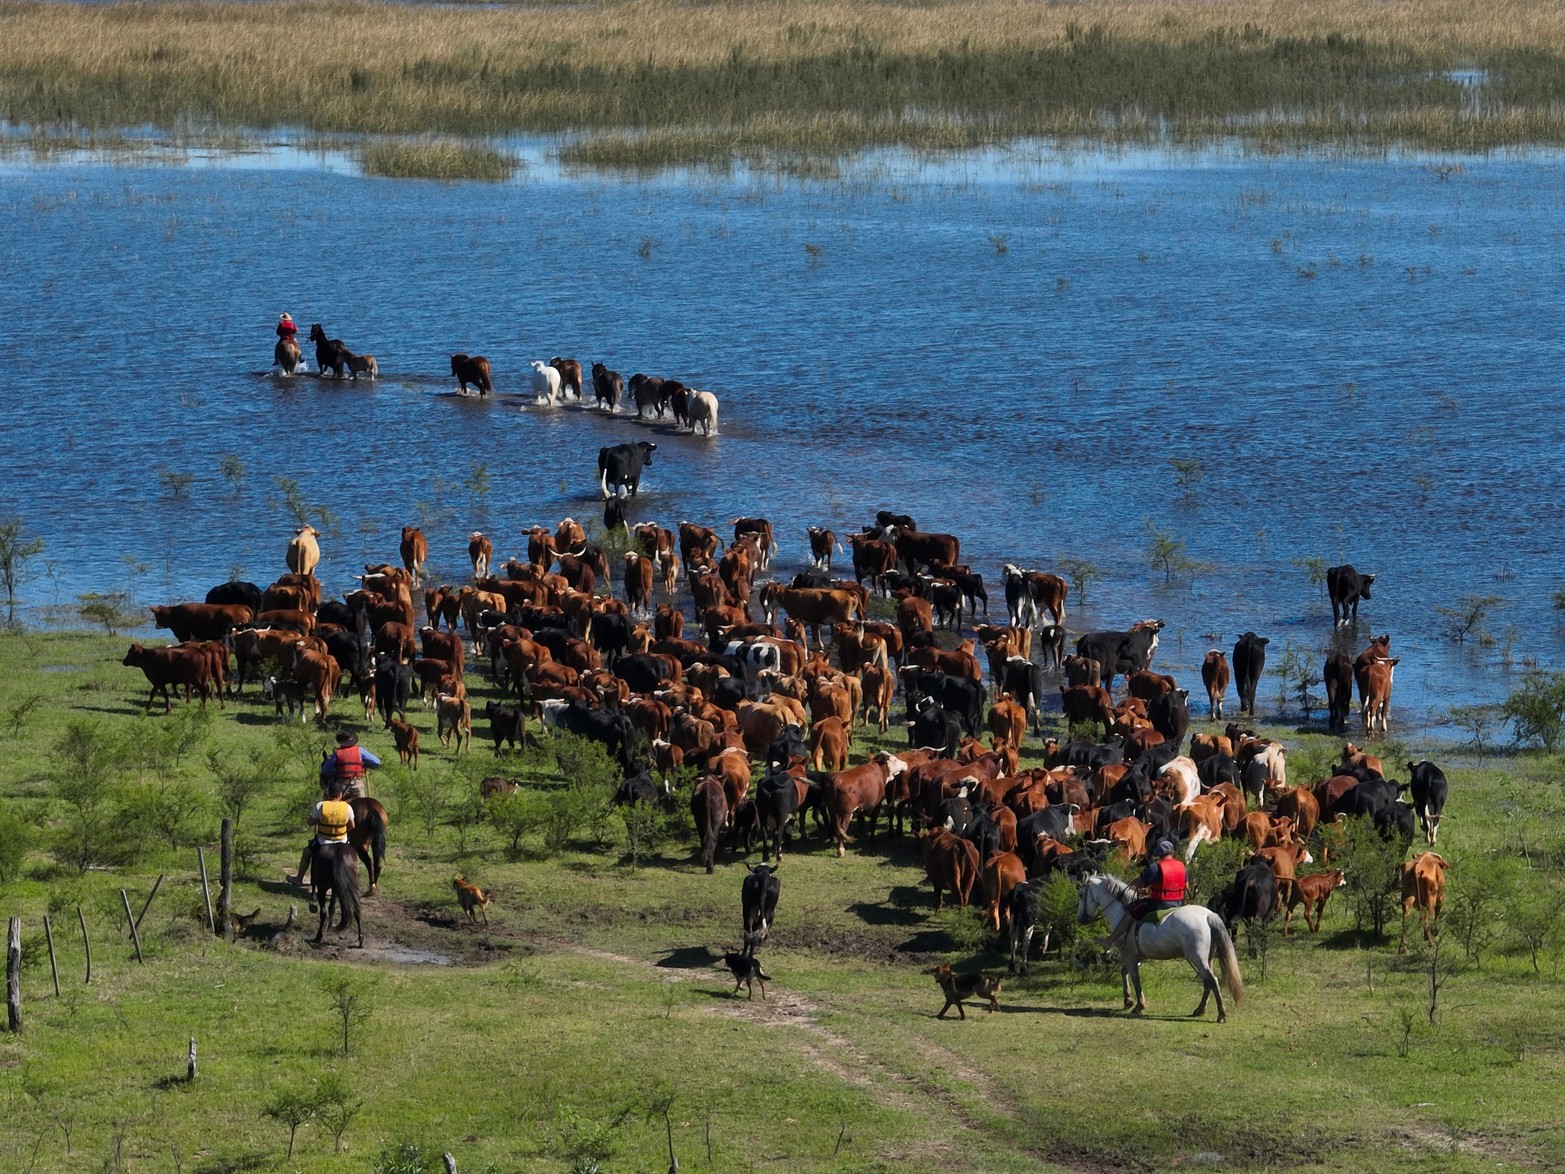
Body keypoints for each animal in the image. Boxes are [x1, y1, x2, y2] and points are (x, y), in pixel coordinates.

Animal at [1070, 876, 1239, 1026]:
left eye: (1081, 894)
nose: (1081, 920)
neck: (1122, 909)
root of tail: (1209, 916)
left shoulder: (1129, 955)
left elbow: (1135, 979)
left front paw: (1139, 1006)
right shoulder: (1136, 956)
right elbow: (1124, 972)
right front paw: (1128, 1000)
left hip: (1198, 958)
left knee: (1212, 980)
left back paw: (1221, 1014)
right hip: (1206, 959)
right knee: (1207, 982)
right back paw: (1200, 1010)